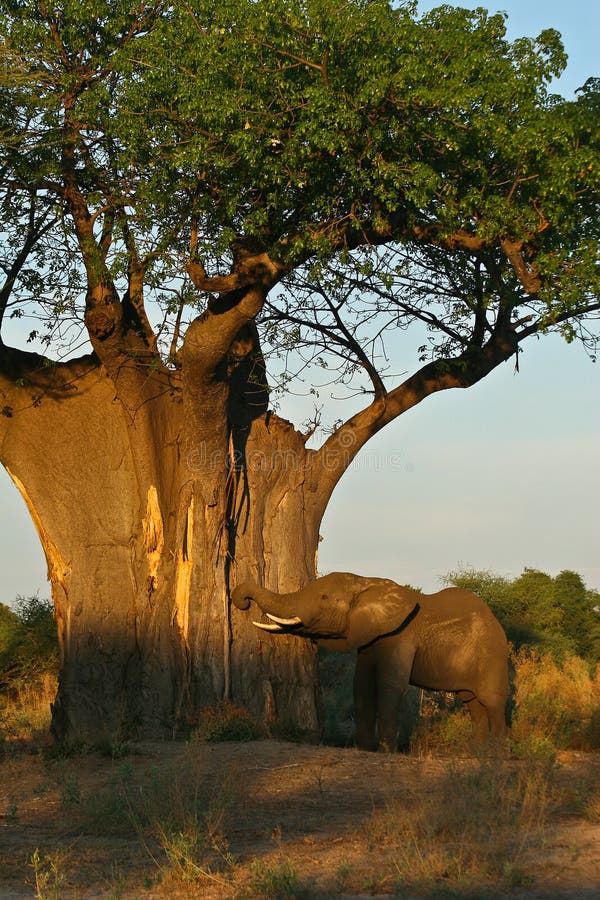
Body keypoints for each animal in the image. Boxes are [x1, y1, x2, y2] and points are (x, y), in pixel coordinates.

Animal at [232, 572, 509, 752]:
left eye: (324, 597)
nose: (243, 602)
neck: (366, 583)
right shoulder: (368, 639)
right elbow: (361, 685)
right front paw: (364, 748)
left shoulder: (399, 635)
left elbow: (389, 685)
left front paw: (386, 751)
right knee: (473, 703)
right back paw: (477, 752)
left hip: (492, 655)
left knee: (491, 702)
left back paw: (496, 753)